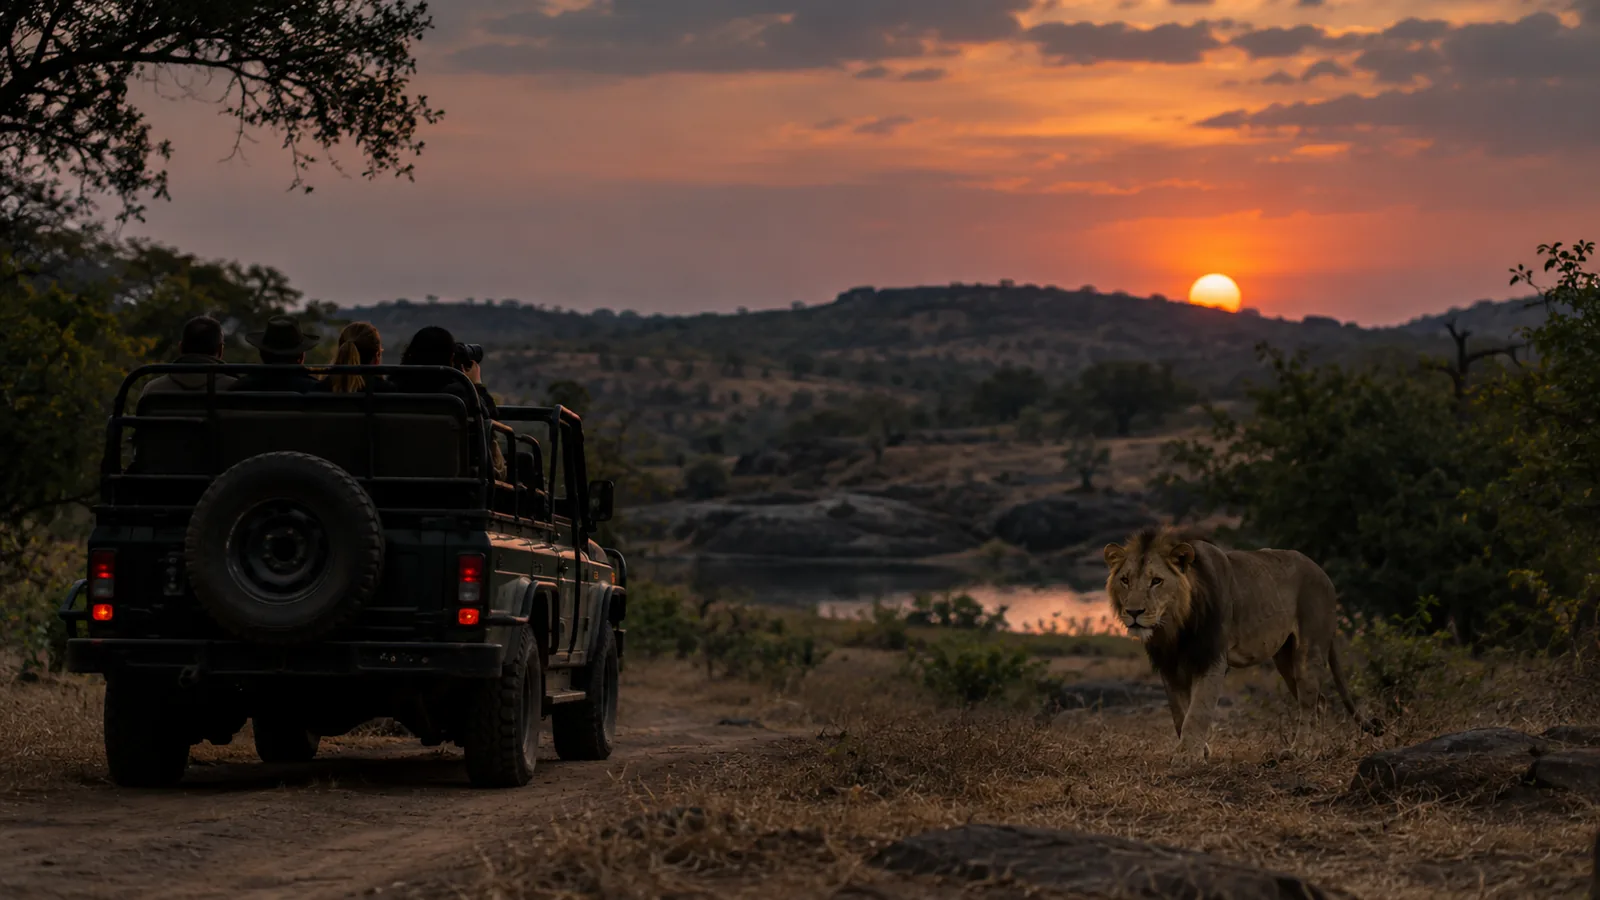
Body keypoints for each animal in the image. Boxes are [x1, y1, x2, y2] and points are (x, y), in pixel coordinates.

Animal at [1103, 526, 1359, 763]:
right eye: (1125, 580)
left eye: (1156, 581)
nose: (1133, 612)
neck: (1174, 626)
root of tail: (1323, 573)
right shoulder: (1168, 663)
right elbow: (1179, 711)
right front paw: (1200, 750)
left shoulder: (1211, 658)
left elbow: (1198, 710)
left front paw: (1188, 755)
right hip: (1285, 658)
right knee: (1320, 702)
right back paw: (1314, 751)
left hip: (1309, 650)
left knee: (1308, 703)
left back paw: (1301, 751)